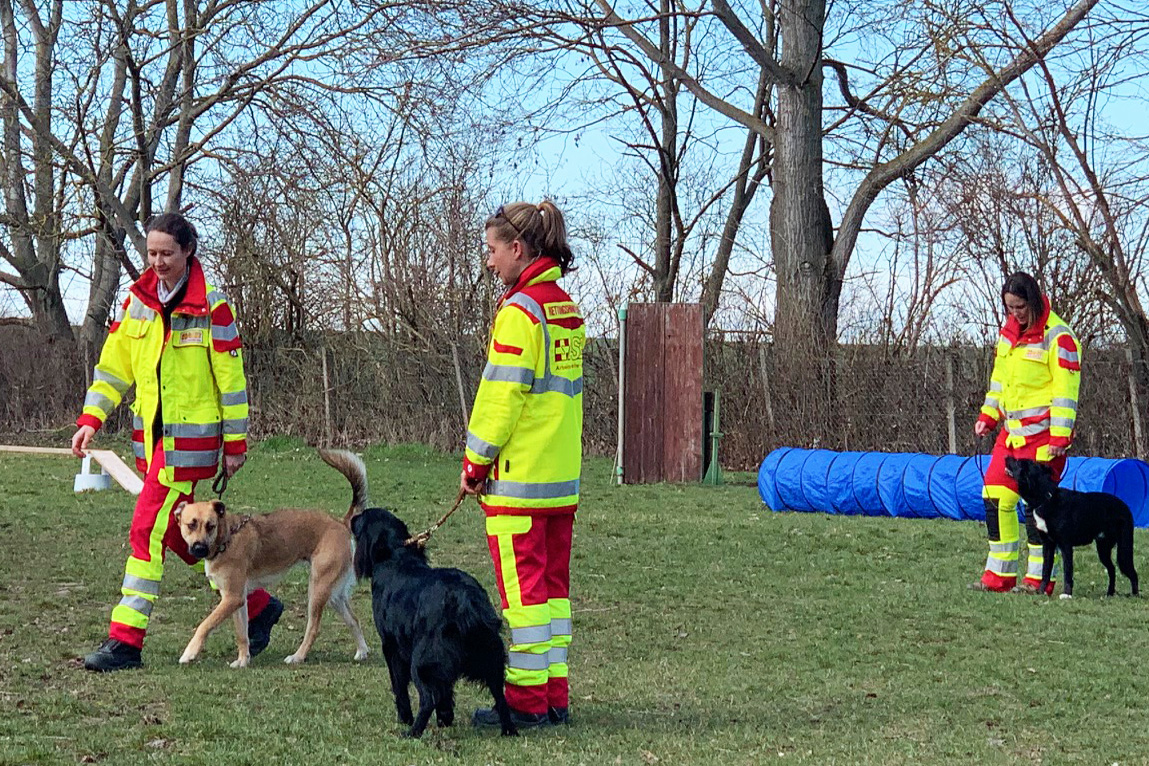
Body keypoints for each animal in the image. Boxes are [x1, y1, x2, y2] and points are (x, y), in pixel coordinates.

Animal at [173, 500, 367, 666]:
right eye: (191, 525)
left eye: (210, 526)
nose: (199, 548)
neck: (227, 538)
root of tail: (341, 523)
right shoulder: (236, 599)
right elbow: (242, 634)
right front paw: (243, 661)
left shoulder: (232, 598)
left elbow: (205, 625)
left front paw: (189, 653)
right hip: (335, 595)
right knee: (354, 620)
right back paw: (362, 652)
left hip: (317, 589)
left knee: (313, 629)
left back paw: (298, 657)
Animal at [1006, 454, 1139, 597]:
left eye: (1018, 463)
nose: (1006, 456)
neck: (1046, 498)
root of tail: (1125, 506)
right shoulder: (1048, 545)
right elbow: (1045, 571)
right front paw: (1041, 592)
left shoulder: (1065, 545)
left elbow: (1067, 571)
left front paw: (1067, 594)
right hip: (1103, 548)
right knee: (1112, 569)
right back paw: (1109, 593)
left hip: (1123, 548)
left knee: (1132, 572)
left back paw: (1135, 595)